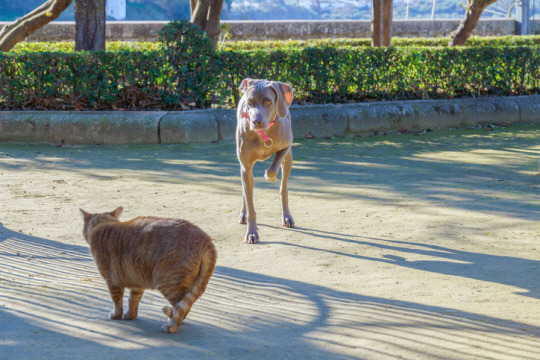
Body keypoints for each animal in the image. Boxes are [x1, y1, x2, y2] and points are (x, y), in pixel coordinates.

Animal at [79, 207, 216, 334]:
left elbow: (117, 301)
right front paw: (130, 315)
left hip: (169, 284)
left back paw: (172, 325)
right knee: (184, 306)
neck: (103, 225)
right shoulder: (137, 282)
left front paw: (116, 315)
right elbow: (133, 300)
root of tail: (206, 239)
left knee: (181, 308)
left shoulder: (112, 281)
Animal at [236, 77, 296, 243]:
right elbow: (249, 199)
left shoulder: (287, 145)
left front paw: (270, 176)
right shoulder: (245, 167)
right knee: (246, 189)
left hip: (289, 160)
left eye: (268, 101)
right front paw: (251, 232)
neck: (263, 133)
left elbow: (274, 166)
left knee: (283, 188)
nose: (256, 121)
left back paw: (287, 216)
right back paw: (243, 214)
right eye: (249, 101)